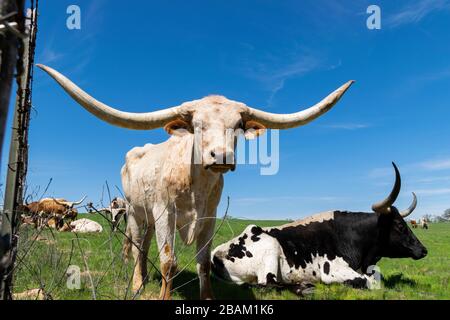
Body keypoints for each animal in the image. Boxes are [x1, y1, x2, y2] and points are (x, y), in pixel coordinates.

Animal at [37, 63, 356, 300]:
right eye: (198, 126)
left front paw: (208, 298)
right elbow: (168, 261)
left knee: (146, 245)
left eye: (238, 126)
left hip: (149, 218)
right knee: (139, 246)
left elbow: (203, 262)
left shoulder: (209, 218)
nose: (222, 156)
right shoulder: (165, 213)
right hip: (135, 213)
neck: (195, 184)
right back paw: (138, 284)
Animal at [211, 164, 426, 292]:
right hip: (270, 248)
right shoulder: (332, 270)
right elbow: (368, 282)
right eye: (399, 225)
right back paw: (303, 286)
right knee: (267, 284)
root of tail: (215, 253)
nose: (423, 250)